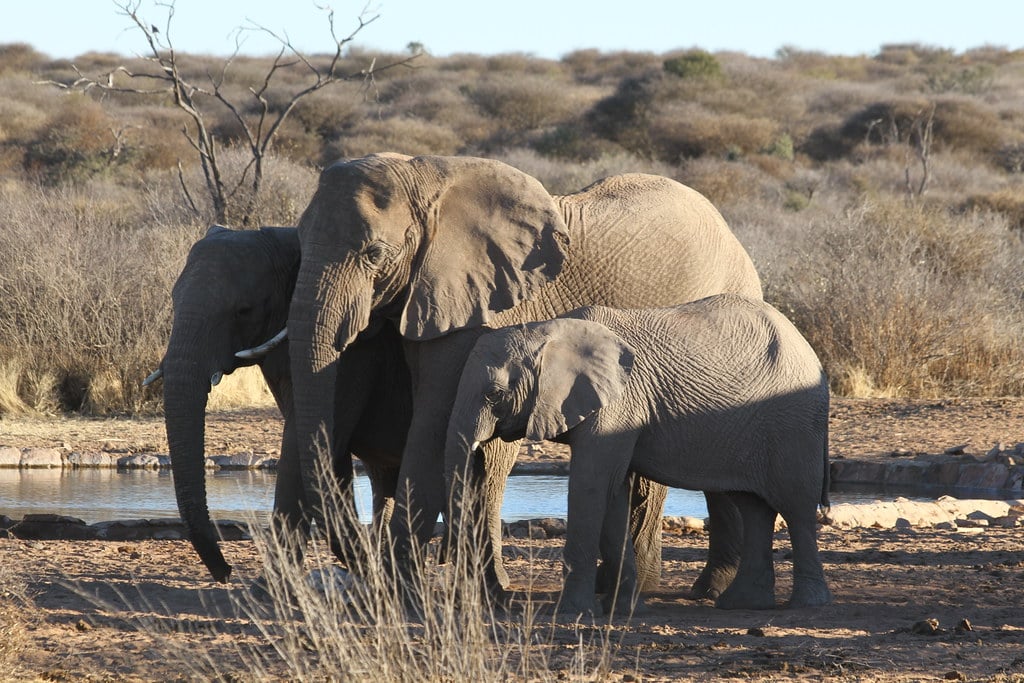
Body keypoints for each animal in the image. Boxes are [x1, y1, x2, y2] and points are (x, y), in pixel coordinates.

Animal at [146, 225, 412, 582]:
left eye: (243, 310)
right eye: (174, 301)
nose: (227, 572)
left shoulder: (353, 355)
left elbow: (305, 443)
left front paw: (270, 586)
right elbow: (325, 448)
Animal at [285, 153, 764, 599]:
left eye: (375, 254)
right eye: (299, 246)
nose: (364, 561)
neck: (430, 175)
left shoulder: (485, 300)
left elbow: (434, 418)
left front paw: (400, 591)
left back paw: (696, 590)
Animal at [445, 296, 833, 616]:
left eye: (495, 394)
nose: (494, 598)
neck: (550, 331)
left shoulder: (617, 404)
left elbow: (591, 485)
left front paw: (574, 614)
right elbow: (614, 492)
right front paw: (624, 610)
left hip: (795, 421)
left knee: (796, 505)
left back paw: (806, 604)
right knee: (752, 506)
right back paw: (742, 604)